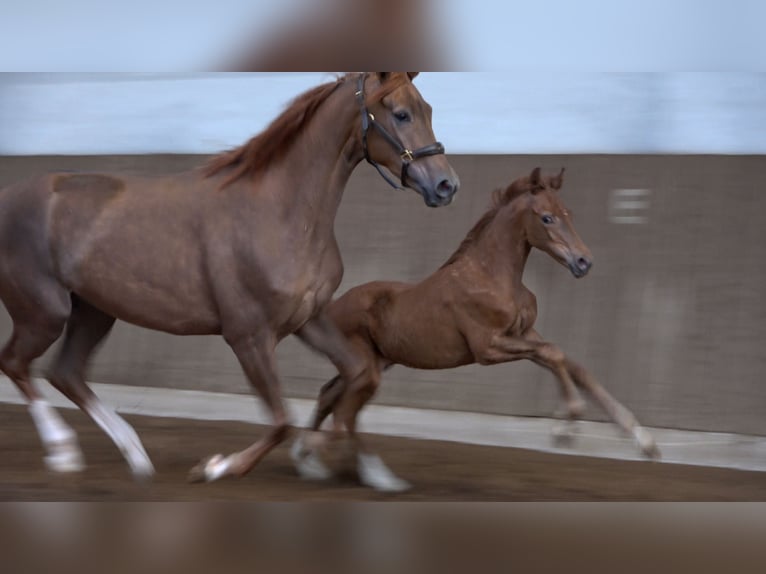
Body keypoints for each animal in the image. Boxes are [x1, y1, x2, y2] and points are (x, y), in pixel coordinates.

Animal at [0, 72, 460, 483]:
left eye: (428, 109)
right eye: (401, 113)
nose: (446, 185)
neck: (281, 211)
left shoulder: (308, 320)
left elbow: (360, 375)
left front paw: (333, 460)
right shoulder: (248, 335)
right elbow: (281, 420)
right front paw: (217, 466)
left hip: (94, 312)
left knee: (66, 373)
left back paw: (135, 454)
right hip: (44, 313)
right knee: (17, 364)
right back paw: (62, 452)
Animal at [291, 167, 660, 492]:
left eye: (567, 213)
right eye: (546, 218)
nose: (584, 262)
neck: (492, 276)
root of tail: (328, 308)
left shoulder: (525, 334)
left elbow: (575, 366)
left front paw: (644, 441)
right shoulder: (488, 347)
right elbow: (554, 354)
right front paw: (566, 425)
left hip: (376, 363)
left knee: (333, 399)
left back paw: (323, 461)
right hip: (366, 365)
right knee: (343, 411)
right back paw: (331, 459)